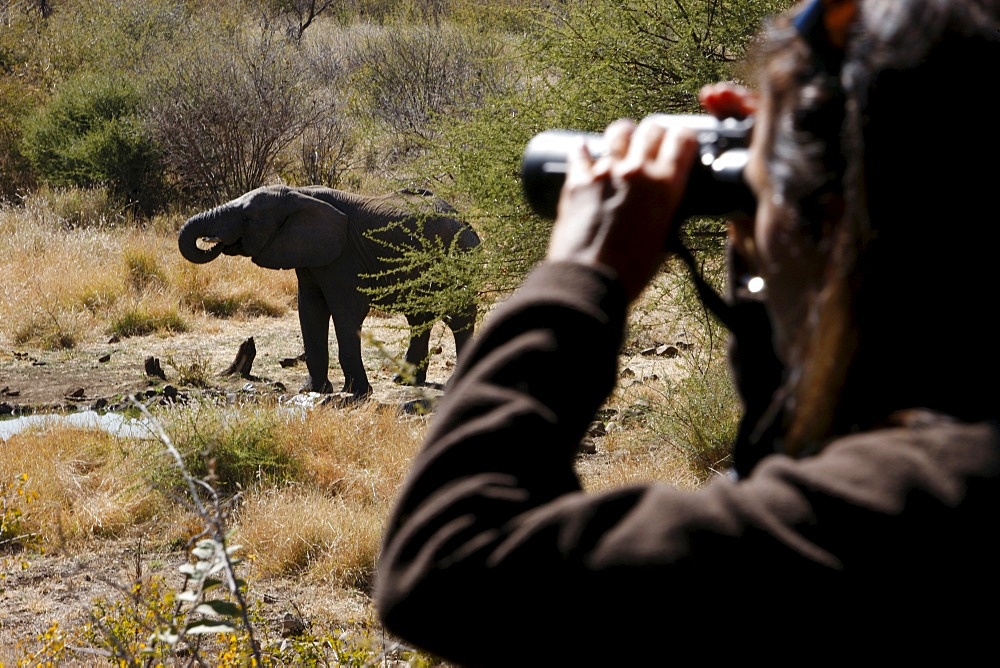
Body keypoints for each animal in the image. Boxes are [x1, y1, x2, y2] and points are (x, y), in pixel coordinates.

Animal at [178, 184, 482, 396]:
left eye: (246, 218)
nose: (214, 241)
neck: (298, 193)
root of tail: (465, 221)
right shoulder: (310, 256)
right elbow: (310, 309)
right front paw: (312, 390)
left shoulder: (343, 257)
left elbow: (345, 312)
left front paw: (357, 393)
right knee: (420, 317)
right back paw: (404, 381)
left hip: (458, 256)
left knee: (459, 318)